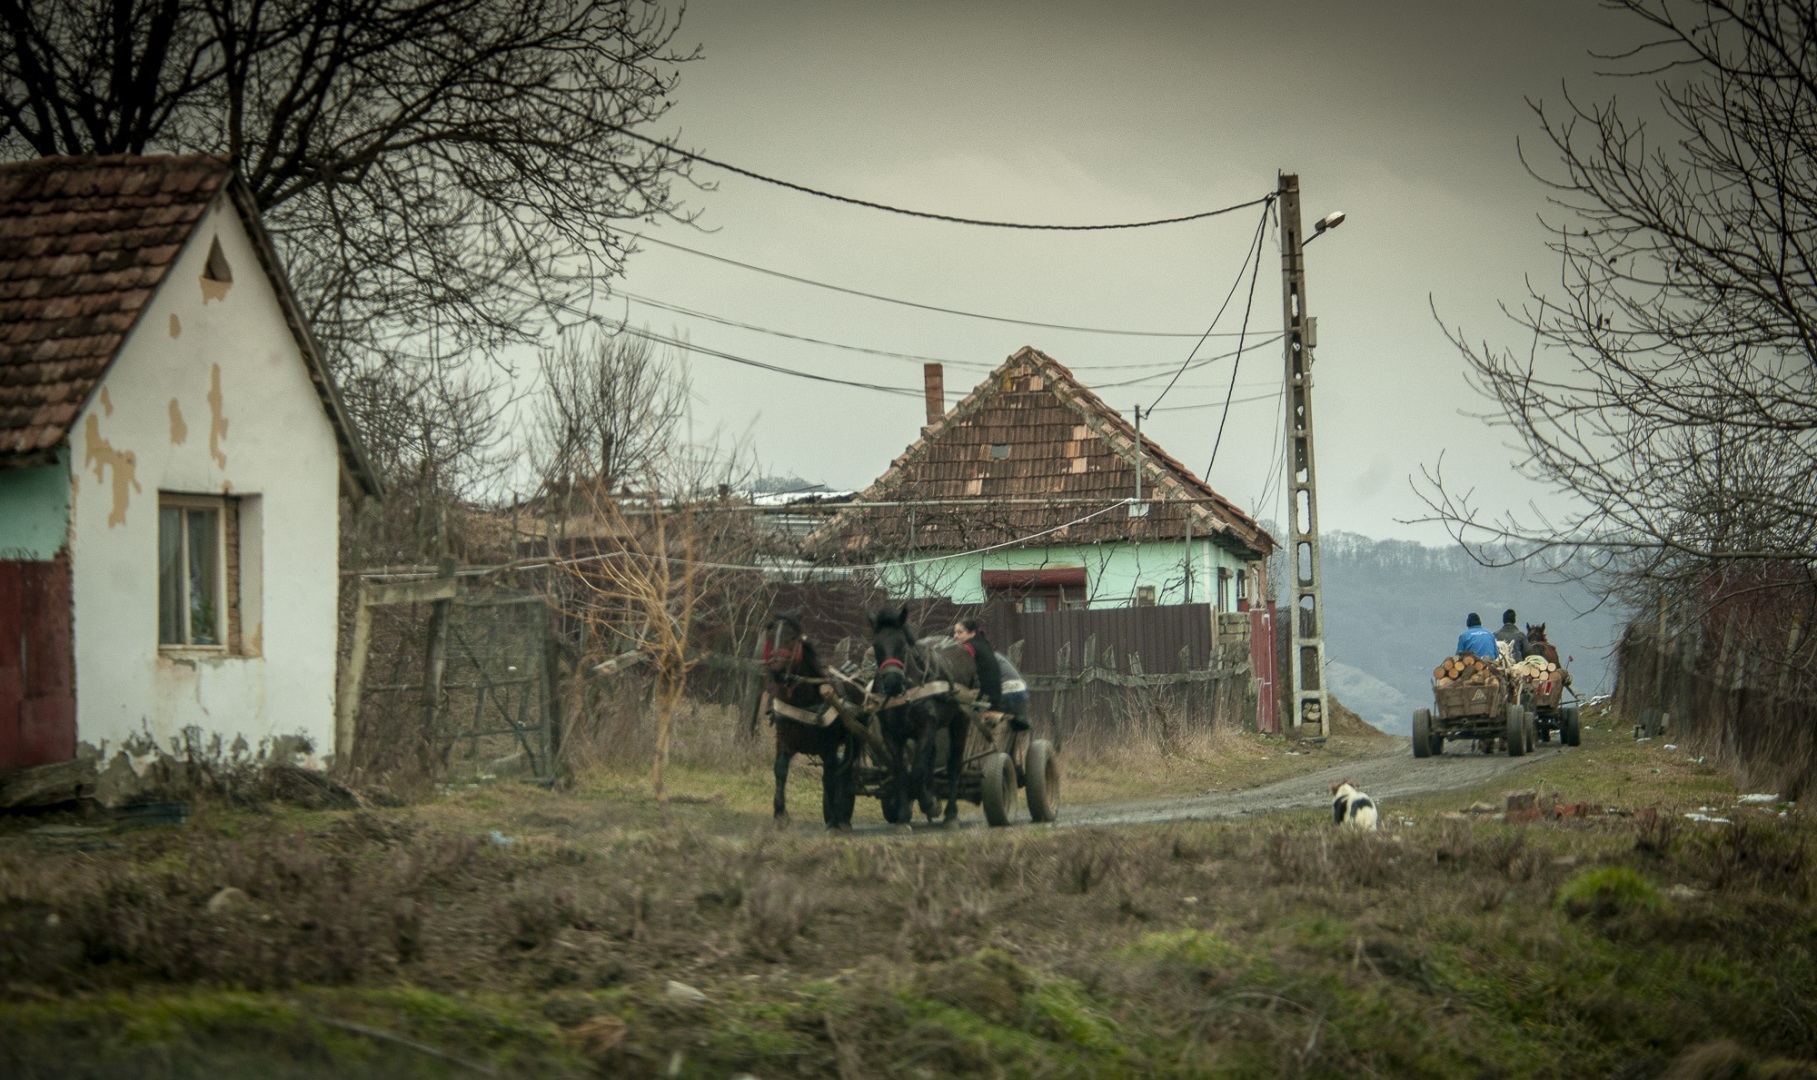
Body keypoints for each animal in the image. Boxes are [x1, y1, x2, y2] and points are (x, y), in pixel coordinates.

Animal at [759, 610, 857, 829]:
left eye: (792, 637)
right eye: (771, 636)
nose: (777, 671)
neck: (803, 702)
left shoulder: (829, 747)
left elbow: (829, 779)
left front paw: (833, 820)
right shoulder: (784, 740)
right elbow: (780, 770)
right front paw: (780, 813)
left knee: (847, 772)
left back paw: (843, 816)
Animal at [868, 600, 1002, 818]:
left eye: (901, 644)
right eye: (876, 645)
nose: (892, 681)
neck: (908, 692)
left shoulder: (926, 728)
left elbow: (918, 770)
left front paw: (928, 802)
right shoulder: (891, 735)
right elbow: (901, 772)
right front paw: (903, 812)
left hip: (961, 721)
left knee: (954, 764)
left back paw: (950, 813)